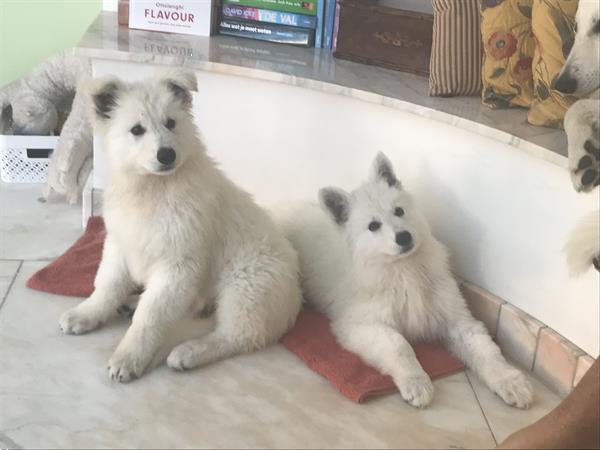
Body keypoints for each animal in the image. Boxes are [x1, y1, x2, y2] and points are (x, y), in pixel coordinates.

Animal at [59, 68, 302, 382]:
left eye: (171, 123)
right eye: (137, 130)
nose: (167, 155)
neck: (153, 189)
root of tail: (297, 293)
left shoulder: (178, 264)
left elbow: (150, 317)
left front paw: (129, 356)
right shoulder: (120, 244)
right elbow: (106, 285)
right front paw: (87, 313)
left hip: (246, 287)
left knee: (236, 335)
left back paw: (189, 352)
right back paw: (133, 303)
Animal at [282, 154, 536, 408]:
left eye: (399, 211)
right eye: (373, 226)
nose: (404, 237)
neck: (404, 269)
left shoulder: (458, 321)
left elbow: (487, 352)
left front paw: (510, 381)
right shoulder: (360, 325)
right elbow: (399, 345)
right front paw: (417, 383)